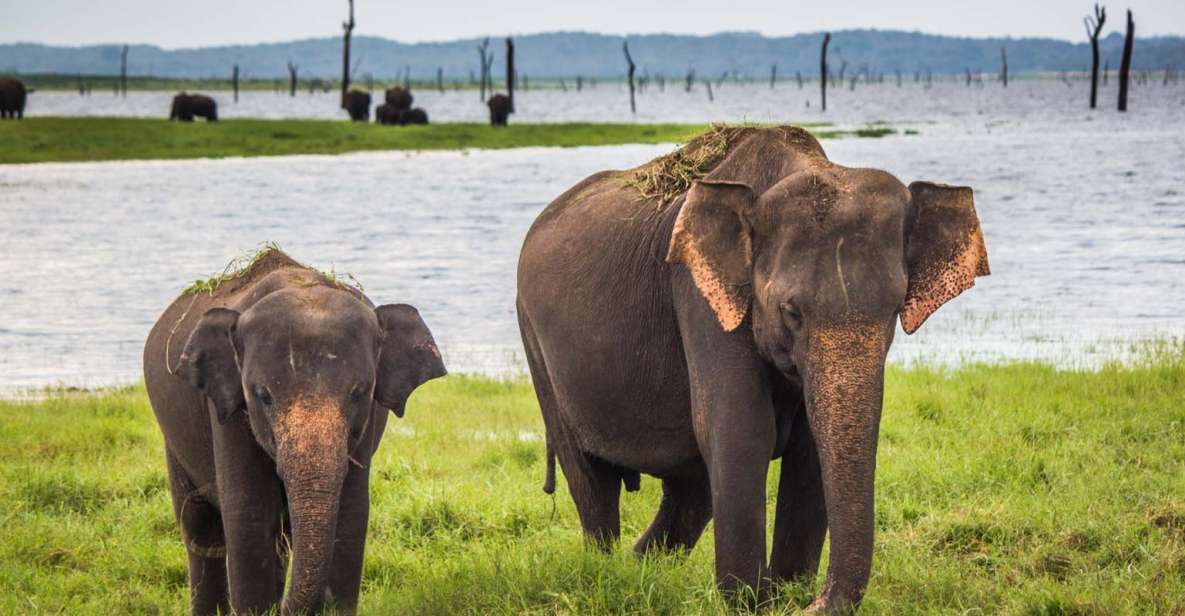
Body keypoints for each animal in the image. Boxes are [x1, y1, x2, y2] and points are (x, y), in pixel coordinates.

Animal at [142, 249, 445, 616]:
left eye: (358, 393)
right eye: (263, 395)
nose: (287, 605)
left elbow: (352, 513)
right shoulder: (227, 412)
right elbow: (248, 512)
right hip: (174, 439)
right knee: (201, 529)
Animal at [519, 123, 990, 611]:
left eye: (895, 309)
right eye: (791, 312)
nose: (812, 602)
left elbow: (807, 448)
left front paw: (785, 594)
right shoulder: (699, 294)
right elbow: (741, 430)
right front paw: (753, 603)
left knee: (691, 491)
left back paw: (639, 570)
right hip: (537, 346)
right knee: (594, 483)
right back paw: (608, 569)